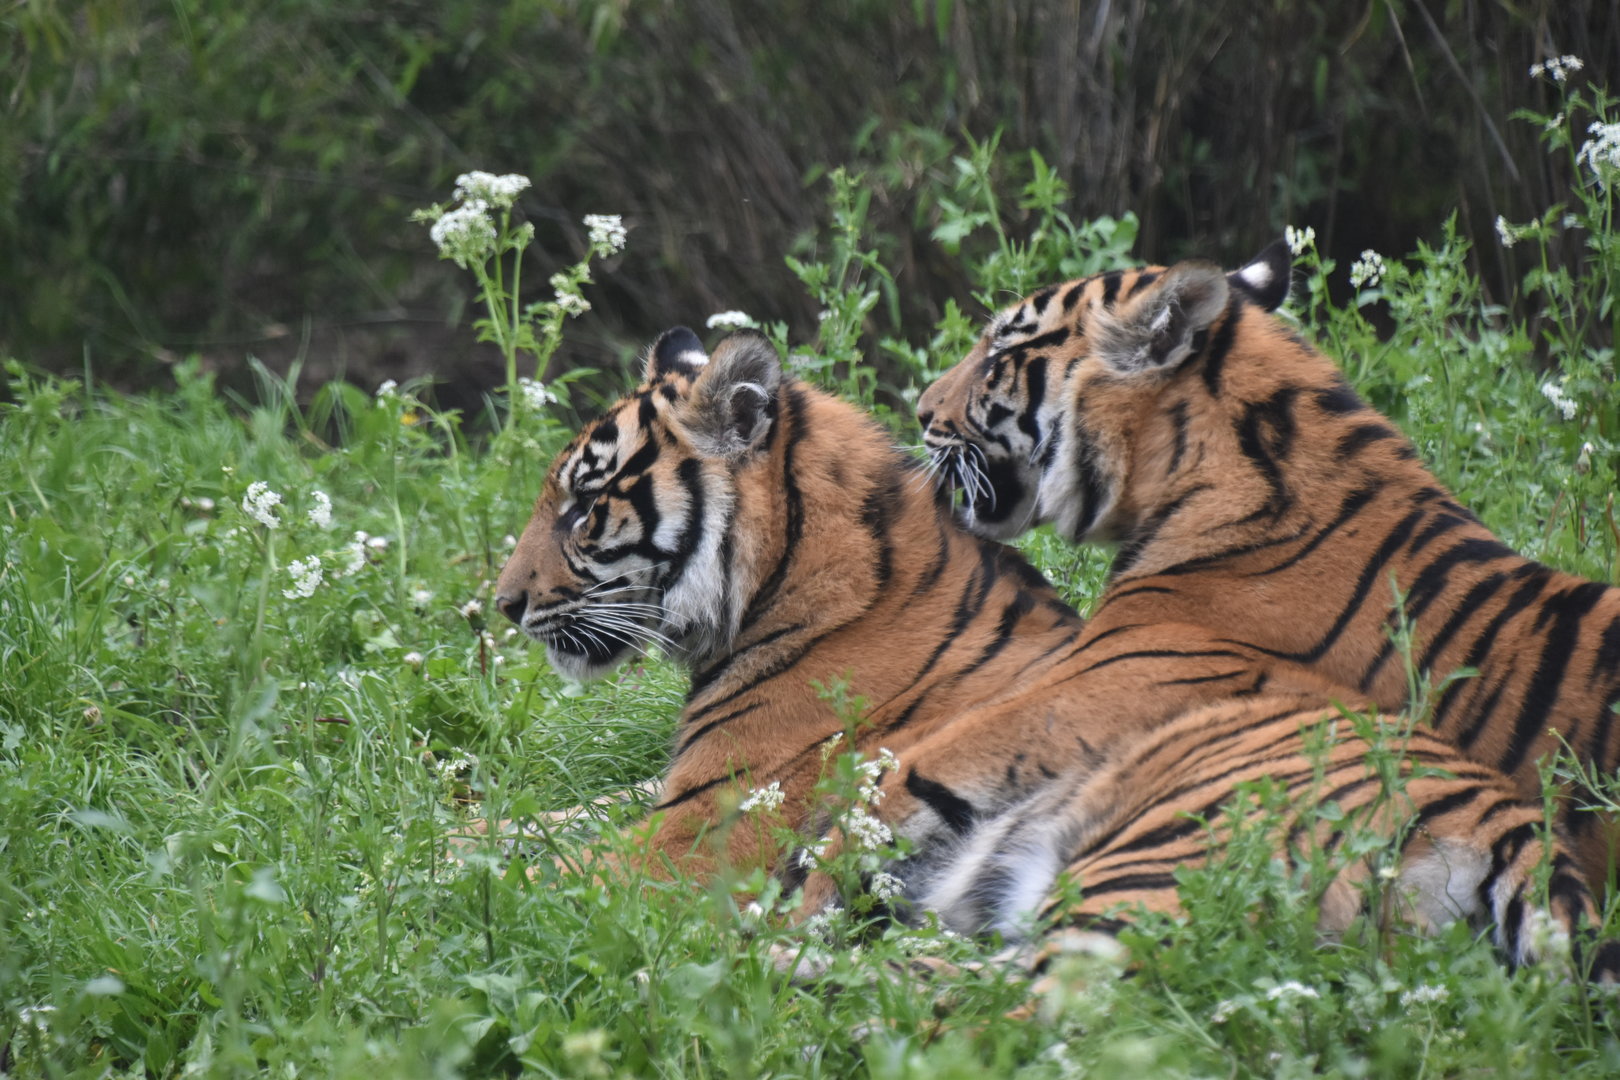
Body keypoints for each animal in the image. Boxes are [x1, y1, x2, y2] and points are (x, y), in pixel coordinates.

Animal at [493, 325, 1616, 977]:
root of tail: (1512, 826)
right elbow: (524, 825)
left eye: (584, 508)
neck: (782, 590)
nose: (498, 607)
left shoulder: (703, 830)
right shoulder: (671, 792)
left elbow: (546, 869)